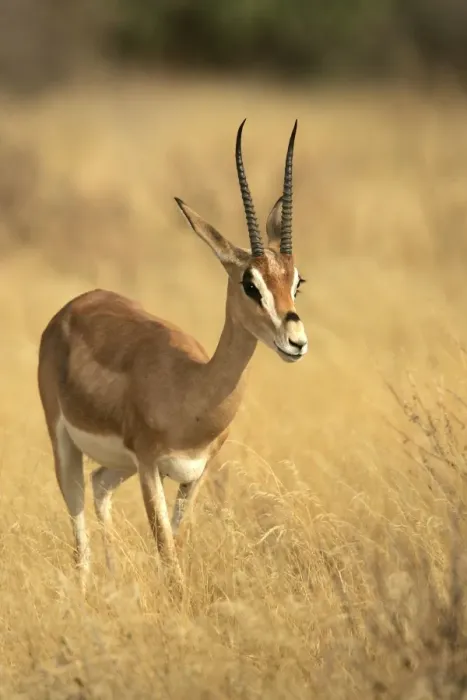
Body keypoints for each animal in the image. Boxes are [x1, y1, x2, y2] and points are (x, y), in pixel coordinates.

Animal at [37, 120, 308, 591]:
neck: (191, 390)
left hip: (118, 464)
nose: (295, 341)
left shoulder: (194, 474)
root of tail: (72, 307)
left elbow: (175, 545)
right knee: (77, 519)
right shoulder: (149, 466)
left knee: (100, 484)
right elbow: (165, 550)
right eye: (250, 283)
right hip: (64, 442)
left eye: (297, 281)